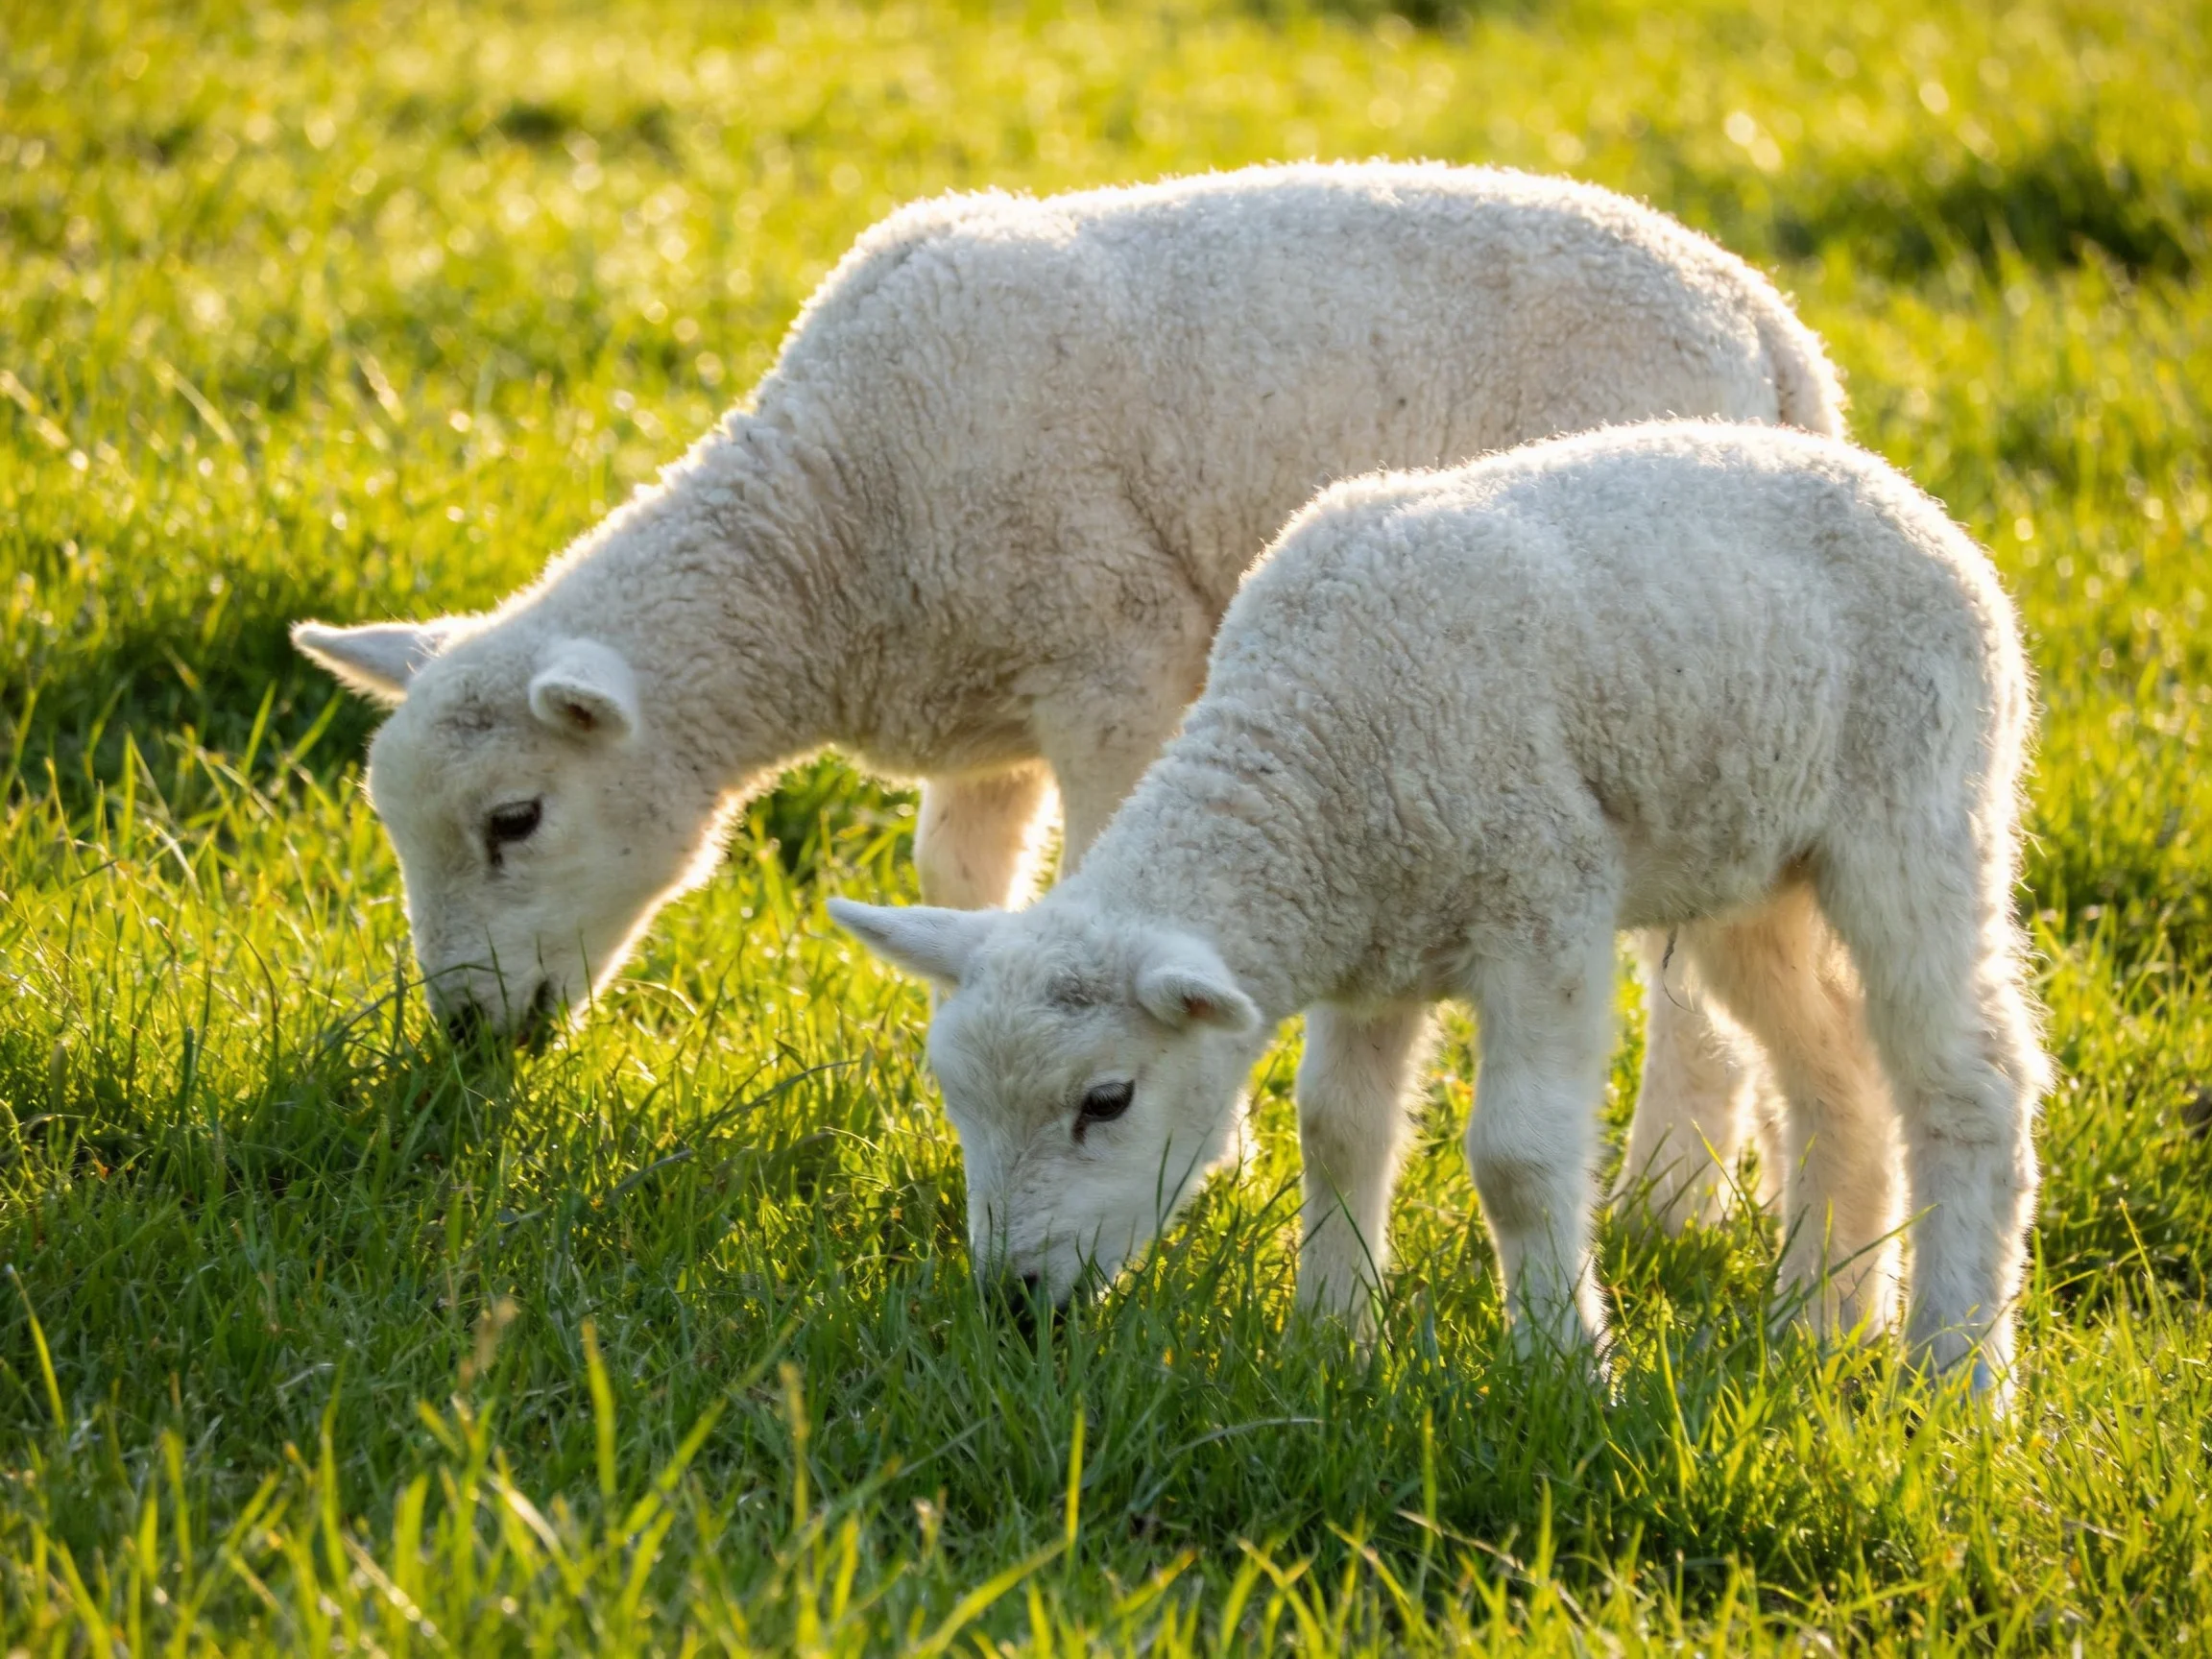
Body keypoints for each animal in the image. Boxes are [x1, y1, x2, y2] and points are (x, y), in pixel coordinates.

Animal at [291, 162, 1841, 1208]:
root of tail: (1769, 327)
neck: (826, 538)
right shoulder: (985, 719)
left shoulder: (1117, 664)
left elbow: (1118, 887)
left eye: (514, 820)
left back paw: (1663, 1199)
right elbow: (960, 882)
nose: (466, 1034)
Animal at [832, 422, 2048, 1398]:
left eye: (1108, 1101)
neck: (1310, 757)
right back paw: (1821, 1325)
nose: (1014, 1303)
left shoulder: (1544, 902)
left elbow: (1514, 1160)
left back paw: (1955, 1372)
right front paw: (1330, 1339)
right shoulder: (1371, 942)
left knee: (1968, 1083)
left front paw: (1564, 1374)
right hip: (1749, 871)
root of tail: (1896, 485)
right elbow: (1335, 1129)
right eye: (956, 1106)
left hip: (1919, 812)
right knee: (1836, 1074)